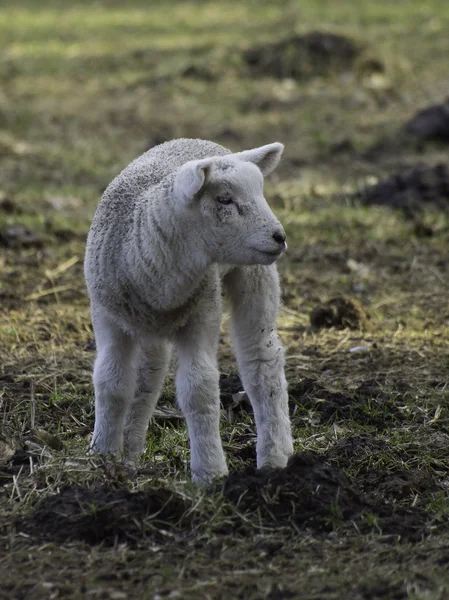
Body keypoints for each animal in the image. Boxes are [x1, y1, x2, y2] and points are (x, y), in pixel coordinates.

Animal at [85, 138, 294, 486]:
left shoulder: (202, 313)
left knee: (261, 362)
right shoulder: (106, 316)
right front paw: (102, 455)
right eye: (224, 199)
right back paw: (131, 449)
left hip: (254, 273)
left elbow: (199, 387)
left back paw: (274, 457)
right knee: (149, 375)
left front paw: (210, 472)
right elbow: (111, 382)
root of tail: (204, 143)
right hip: (147, 324)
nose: (280, 237)